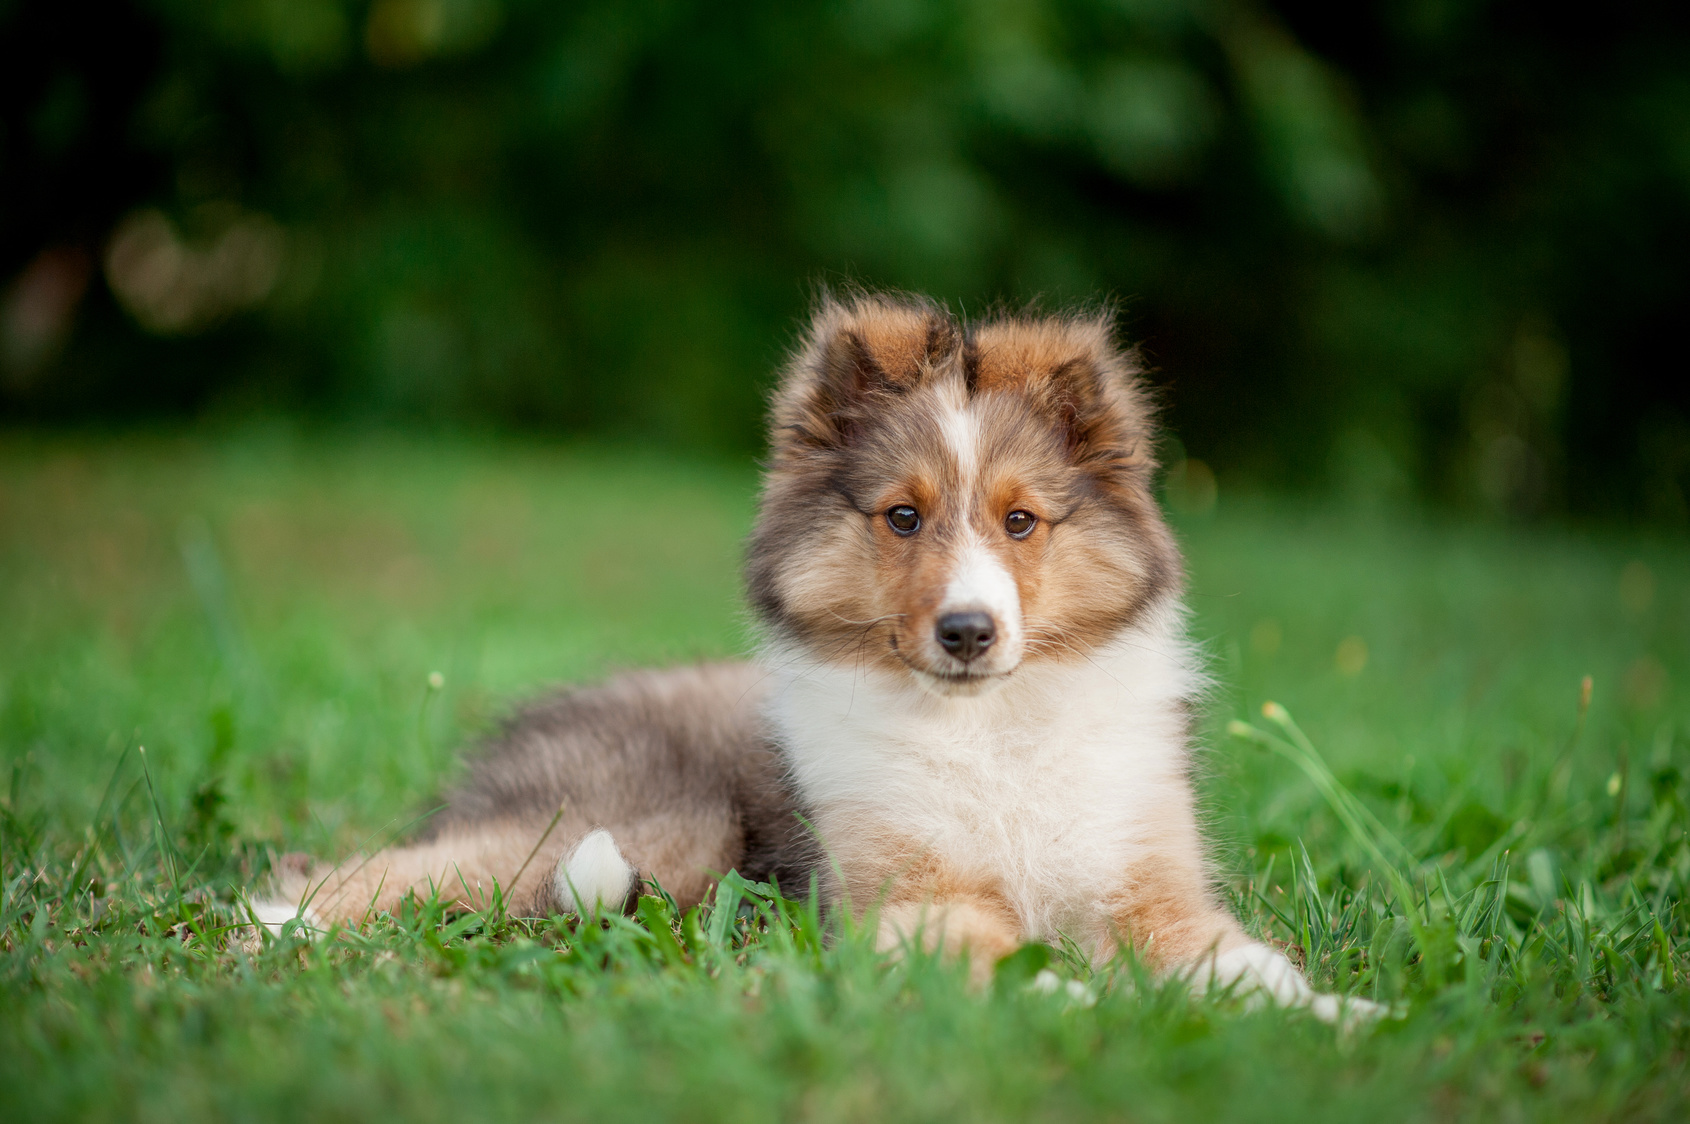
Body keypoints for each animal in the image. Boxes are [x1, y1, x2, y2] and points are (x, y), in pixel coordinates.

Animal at [260, 294, 1372, 1020]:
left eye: (1021, 520)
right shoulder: (911, 900)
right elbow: (1016, 965)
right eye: (902, 516)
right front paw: (1088, 1002)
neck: (991, 727)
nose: (968, 632)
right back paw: (267, 932)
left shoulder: (1154, 892)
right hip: (639, 824)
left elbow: (1252, 969)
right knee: (369, 871)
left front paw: (1348, 1019)